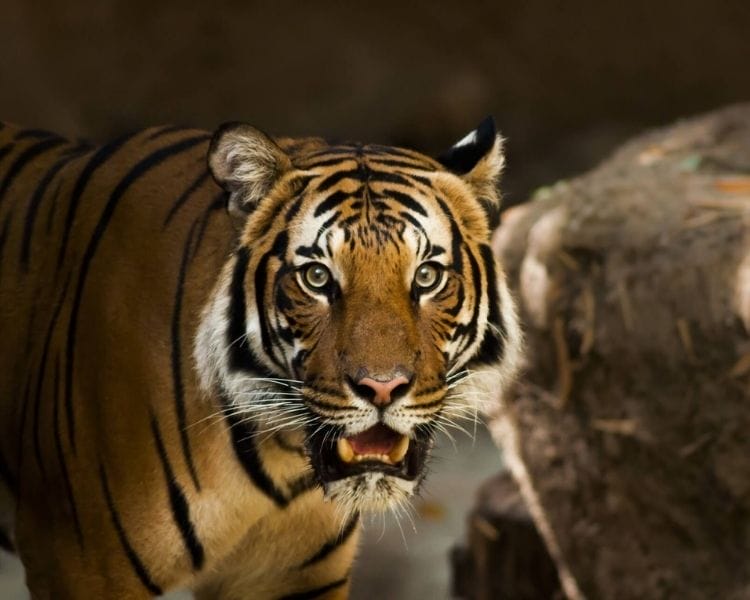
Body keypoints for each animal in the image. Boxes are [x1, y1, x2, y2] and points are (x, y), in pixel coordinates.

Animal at [0, 116, 522, 599]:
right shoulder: (84, 568)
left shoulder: (293, 577)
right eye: (316, 277)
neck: (279, 460)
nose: (382, 387)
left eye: (427, 276)